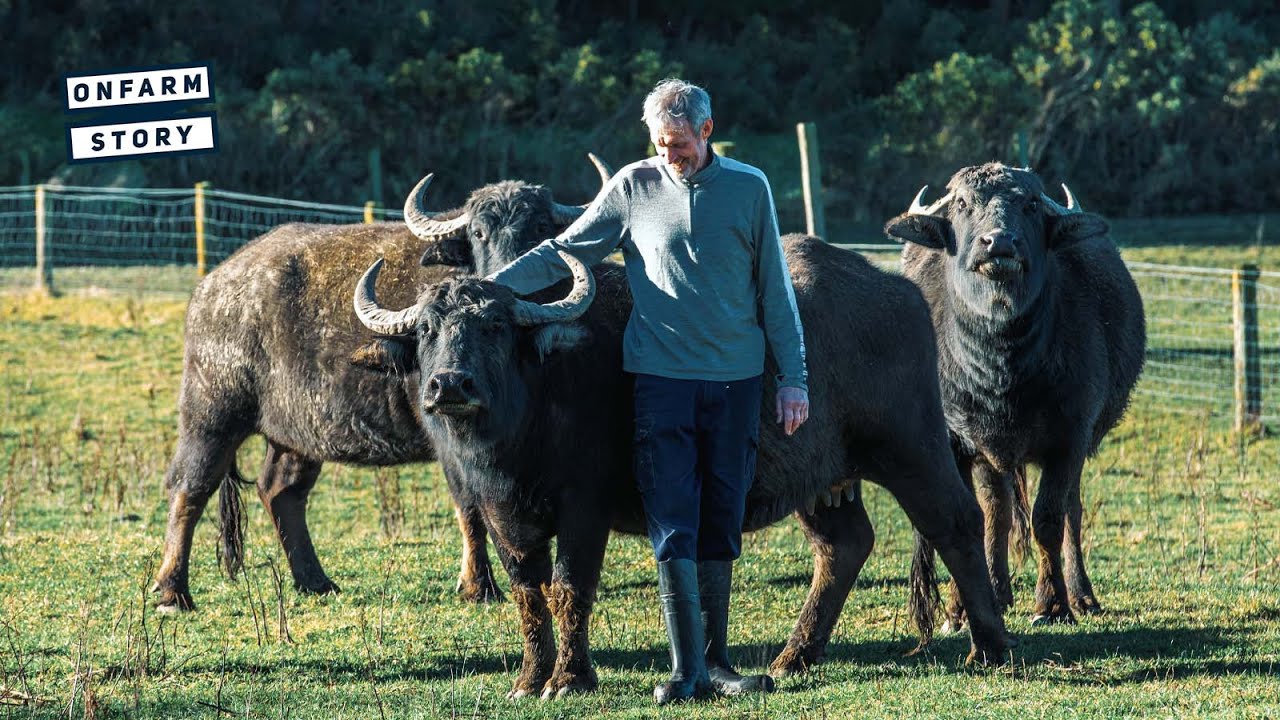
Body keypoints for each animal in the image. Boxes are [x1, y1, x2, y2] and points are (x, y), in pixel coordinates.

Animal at [152, 160, 607, 612]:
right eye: (479, 232)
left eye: (541, 228)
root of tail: (211, 288)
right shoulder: (447, 433)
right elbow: (469, 504)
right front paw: (478, 585)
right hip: (211, 414)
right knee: (188, 487)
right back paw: (172, 590)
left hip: (296, 433)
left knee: (280, 490)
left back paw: (314, 580)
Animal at [352, 235, 1012, 699]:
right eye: (427, 331)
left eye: (492, 327)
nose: (450, 385)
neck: (530, 411)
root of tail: (901, 293)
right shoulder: (500, 513)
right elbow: (527, 594)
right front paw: (530, 677)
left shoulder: (584, 507)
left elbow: (569, 586)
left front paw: (570, 678)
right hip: (822, 480)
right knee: (845, 545)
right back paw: (793, 657)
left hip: (913, 448)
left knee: (956, 523)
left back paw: (989, 646)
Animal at [884, 163, 1145, 634]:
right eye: (963, 203)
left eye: (1030, 204)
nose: (999, 242)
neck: (1002, 366)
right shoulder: (960, 441)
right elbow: (977, 516)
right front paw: (961, 610)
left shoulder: (1070, 436)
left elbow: (1048, 519)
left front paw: (1052, 604)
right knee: (998, 510)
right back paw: (995, 593)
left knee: (1070, 511)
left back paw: (1081, 595)